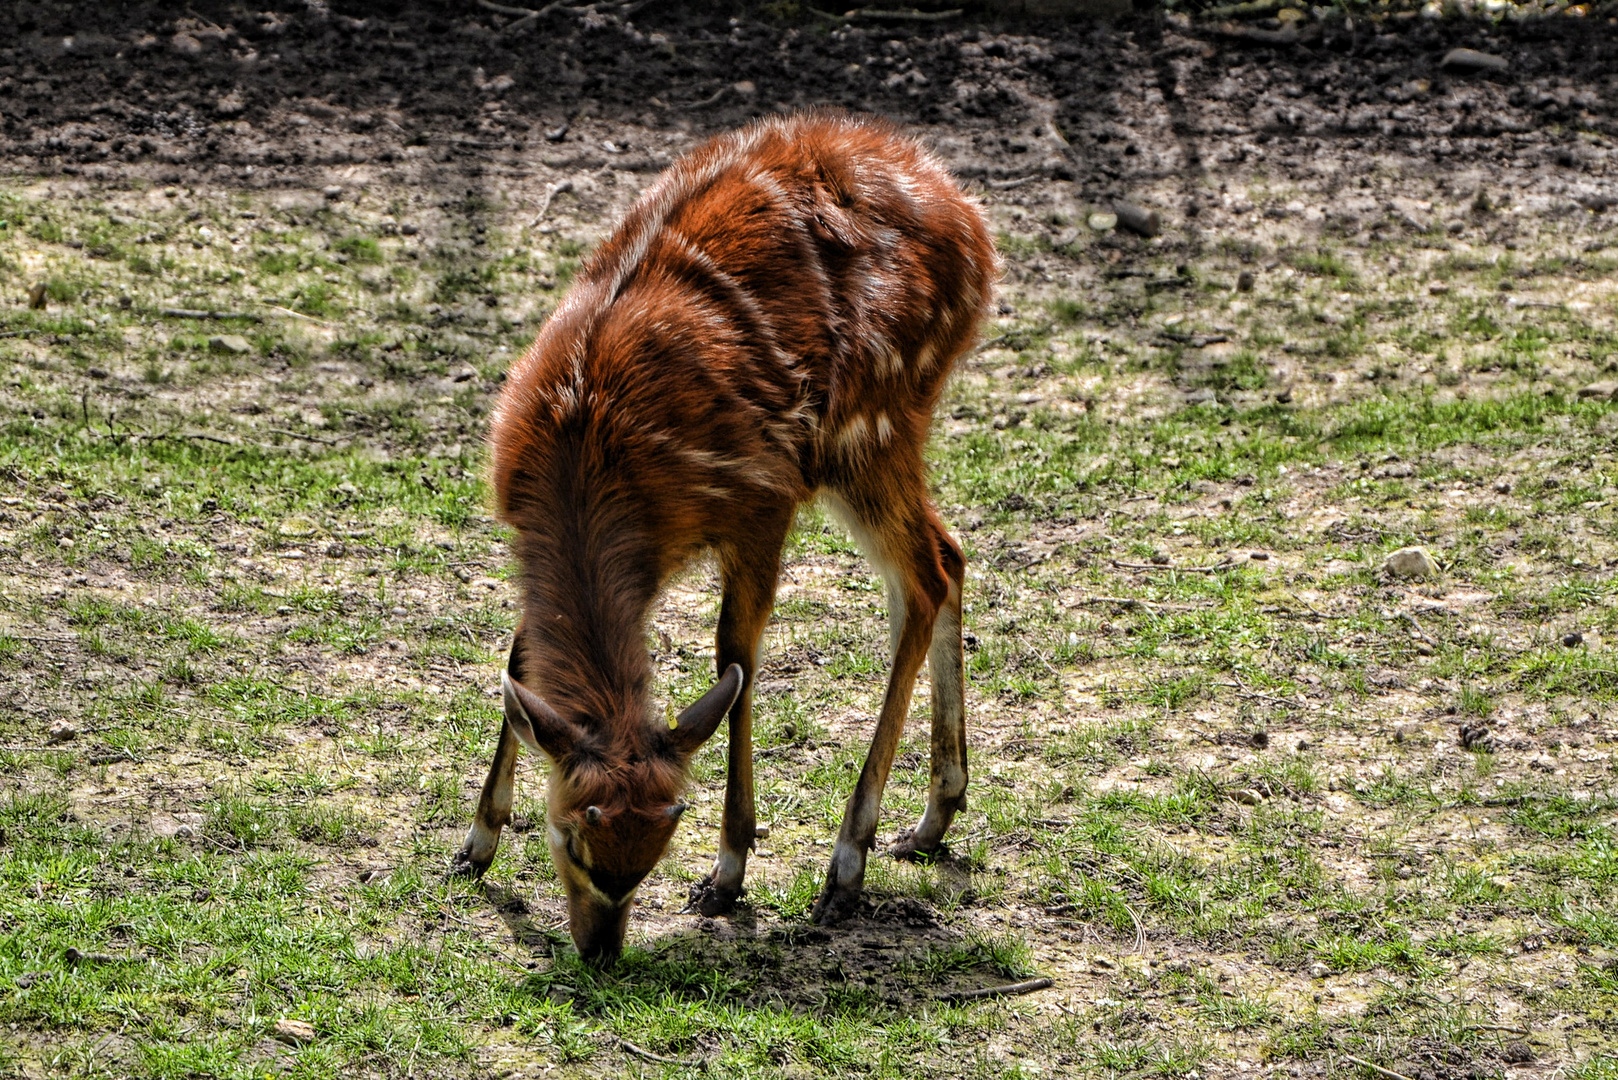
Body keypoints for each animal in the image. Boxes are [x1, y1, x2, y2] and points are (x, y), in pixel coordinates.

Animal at [449, 111, 990, 965]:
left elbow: (734, 656)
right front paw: (474, 843)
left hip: (868, 425)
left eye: (661, 842)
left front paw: (728, 871)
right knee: (946, 555)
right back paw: (933, 817)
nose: (600, 950)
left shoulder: (760, 502)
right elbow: (519, 654)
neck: (586, 454)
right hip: (877, 438)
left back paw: (848, 862)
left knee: (925, 576)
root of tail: (974, 225)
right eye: (571, 835)